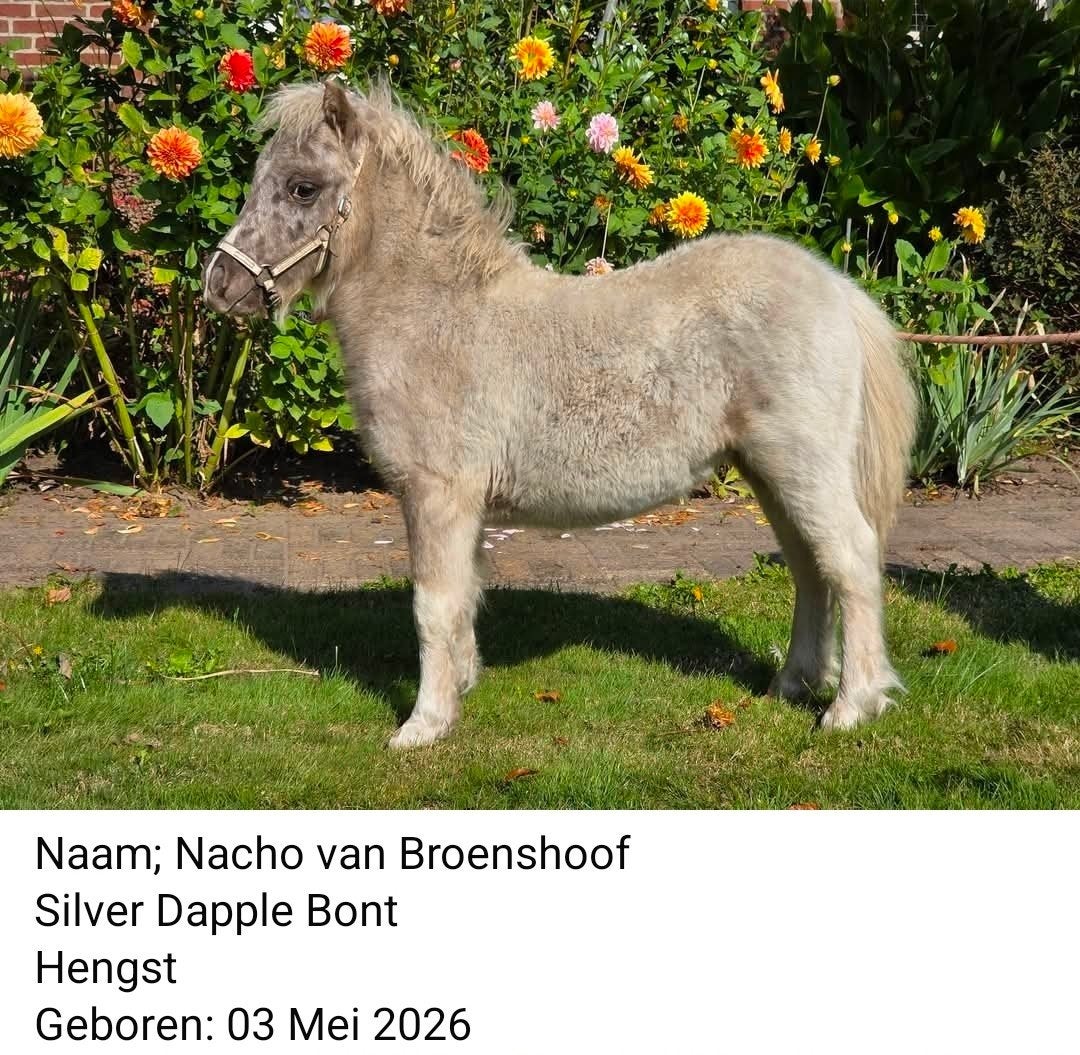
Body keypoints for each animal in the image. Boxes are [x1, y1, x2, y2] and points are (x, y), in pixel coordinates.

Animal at [204, 79, 916, 749]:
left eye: (302, 188)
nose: (220, 285)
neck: (438, 316)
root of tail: (837, 290)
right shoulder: (462, 505)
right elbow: (465, 595)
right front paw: (460, 687)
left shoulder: (437, 494)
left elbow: (433, 605)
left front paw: (424, 725)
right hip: (770, 474)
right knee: (809, 568)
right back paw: (793, 684)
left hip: (801, 467)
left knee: (849, 559)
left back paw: (851, 707)